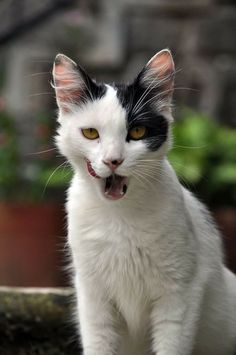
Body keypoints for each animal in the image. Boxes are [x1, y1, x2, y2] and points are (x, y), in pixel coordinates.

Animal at [51, 49, 236, 355]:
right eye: (91, 133)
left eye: (137, 132)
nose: (113, 161)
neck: (119, 214)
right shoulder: (93, 298)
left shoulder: (179, 295)